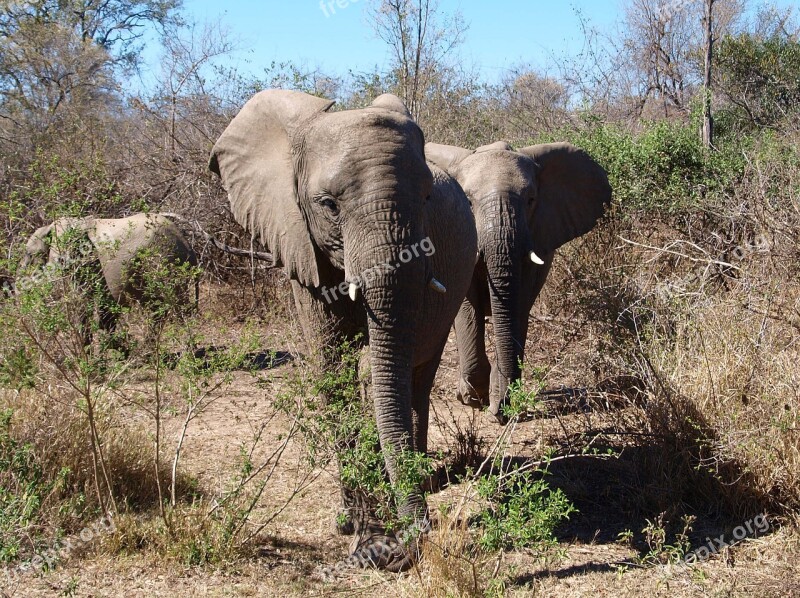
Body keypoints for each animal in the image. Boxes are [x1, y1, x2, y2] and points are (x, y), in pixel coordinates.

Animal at [209, 91, 478, 576]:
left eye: (428, 196)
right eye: (328, 204)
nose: (399, 547)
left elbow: (383, 370)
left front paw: (374, 534)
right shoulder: (303, 249)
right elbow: (332, 372)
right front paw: (358, 531)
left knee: (419, 377)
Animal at [424, 142, 612, 422]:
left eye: (531, 200)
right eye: (467, 201)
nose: (499, 413)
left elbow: (519, 303)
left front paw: (498, 400)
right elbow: (468, 304)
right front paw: (472, 398)